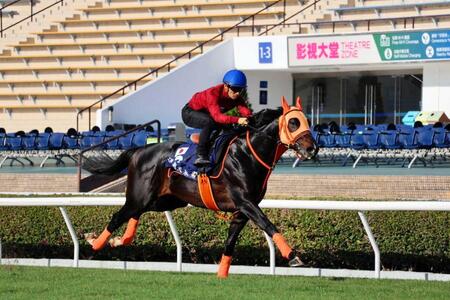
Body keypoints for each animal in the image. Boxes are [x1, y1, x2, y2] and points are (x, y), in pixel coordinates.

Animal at [82, 97, 318, 278]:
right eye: (293, 122)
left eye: (307, 121)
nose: (312, 148)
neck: (248, 153)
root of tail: (138, 150)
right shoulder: (245, 202)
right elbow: (269, 225)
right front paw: (293, 256)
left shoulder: (241, 211)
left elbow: (230, 242)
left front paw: (221, 275)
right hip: (140, 195)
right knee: (118, 216)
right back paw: (93, 245)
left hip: (167, 200)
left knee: (136, 213)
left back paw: (118, 240)